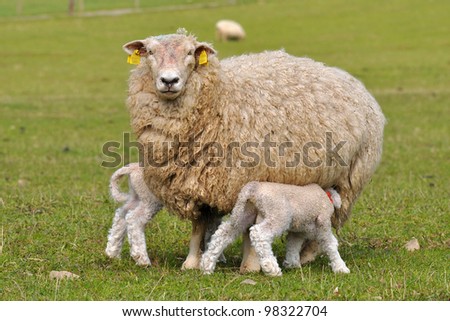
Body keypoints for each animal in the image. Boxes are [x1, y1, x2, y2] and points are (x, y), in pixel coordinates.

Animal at [201, 181, 352, 276]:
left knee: (223, 233)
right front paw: (341, 267)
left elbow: (293, 244)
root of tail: (253, 189)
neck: (327, 196)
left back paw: (207, 264)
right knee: (259, 234)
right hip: (278, 215)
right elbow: (330, 244)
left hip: (243, 212)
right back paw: (271, 268)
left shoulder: (298, 230)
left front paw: (292, 263)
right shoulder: (323, 222)